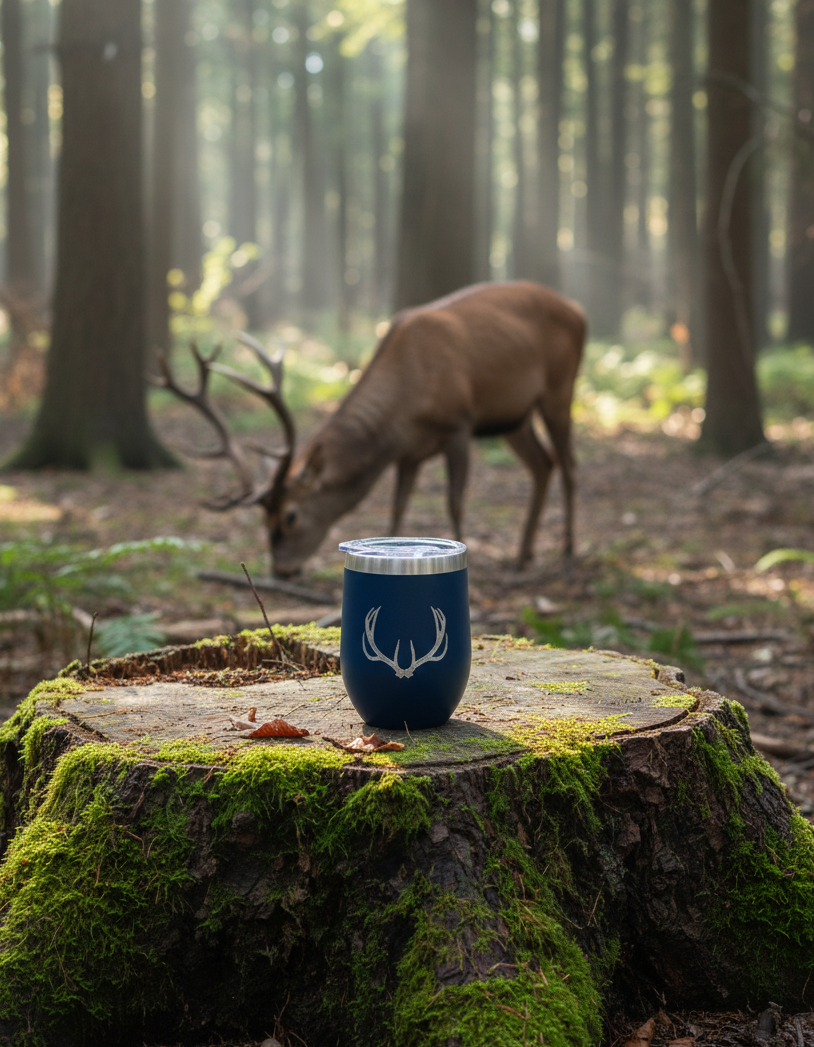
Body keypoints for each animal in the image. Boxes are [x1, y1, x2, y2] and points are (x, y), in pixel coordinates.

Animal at [156, 280, 586, 578]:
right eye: (264, 519)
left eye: (290, 516)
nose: (282, 570)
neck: (405, 408)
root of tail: (578, 310)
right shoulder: (409, 452)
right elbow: (397, 509)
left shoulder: (459, 425)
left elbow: (454, 501)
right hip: (515, 416)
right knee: (542, 464)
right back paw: (523, 555)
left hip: (560, 388)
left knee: (568, 464)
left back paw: (567, 553)